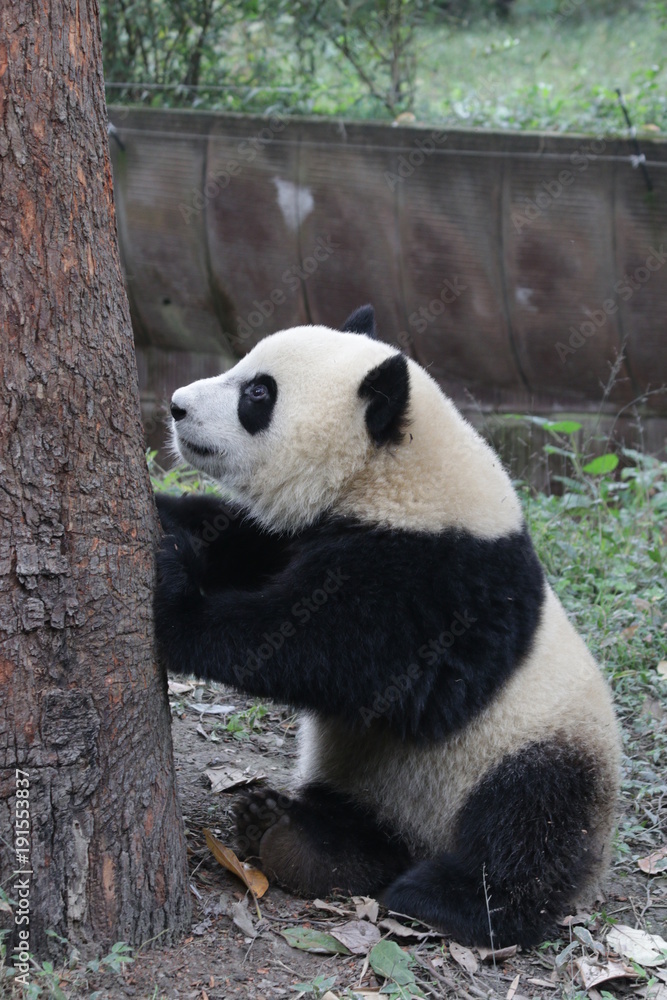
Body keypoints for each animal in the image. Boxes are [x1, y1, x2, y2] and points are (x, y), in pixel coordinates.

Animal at [154, 305, 621, 949]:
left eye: (258, 393)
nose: (176, 405)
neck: (393, 474)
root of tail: (419, 839)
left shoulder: (442, 579)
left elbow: (332, 653)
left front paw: (169, 600)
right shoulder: (305, 531)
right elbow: (235, 539)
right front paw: (161, 519)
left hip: (542, 742)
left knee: (531, 821)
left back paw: (447, 901)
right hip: (371, 779)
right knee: (359, 822)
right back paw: (294, 837)